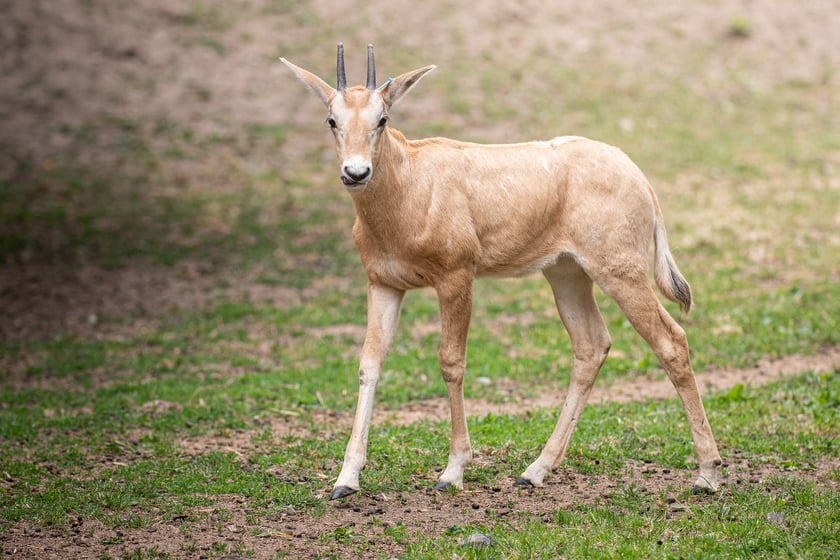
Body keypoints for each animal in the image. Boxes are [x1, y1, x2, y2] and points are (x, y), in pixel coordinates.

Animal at [284, 42, 720, 498]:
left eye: (382, 118)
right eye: (332, 119)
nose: (355, 173)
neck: (411, 183)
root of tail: (639, 177)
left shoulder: (456, 278)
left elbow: (451, 362)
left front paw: (452, 471)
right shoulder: (383, 284)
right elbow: (369, 364)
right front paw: (346, 479)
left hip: (621, 273)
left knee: (671, 341)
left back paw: (707, 473)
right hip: (567, 274)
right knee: (591, 345)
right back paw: (535, 470)